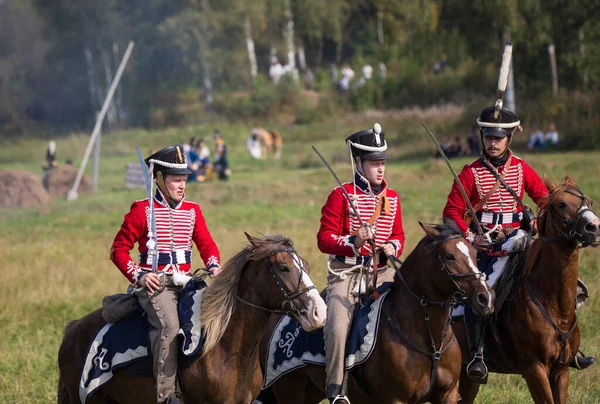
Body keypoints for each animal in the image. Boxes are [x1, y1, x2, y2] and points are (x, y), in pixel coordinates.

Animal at [260, 221, 494, 404]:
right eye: (449, 256)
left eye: (475, 253)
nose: (485, 297)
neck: (429, 341)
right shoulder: (395, 399)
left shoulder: (448, 395)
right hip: (290, 391)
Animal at [454, 174, 600, 404]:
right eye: (562, 204)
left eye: (590, 202)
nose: (593, 227)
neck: (555, 306)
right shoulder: (535, 371)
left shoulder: (561, 371)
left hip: (466, 375)